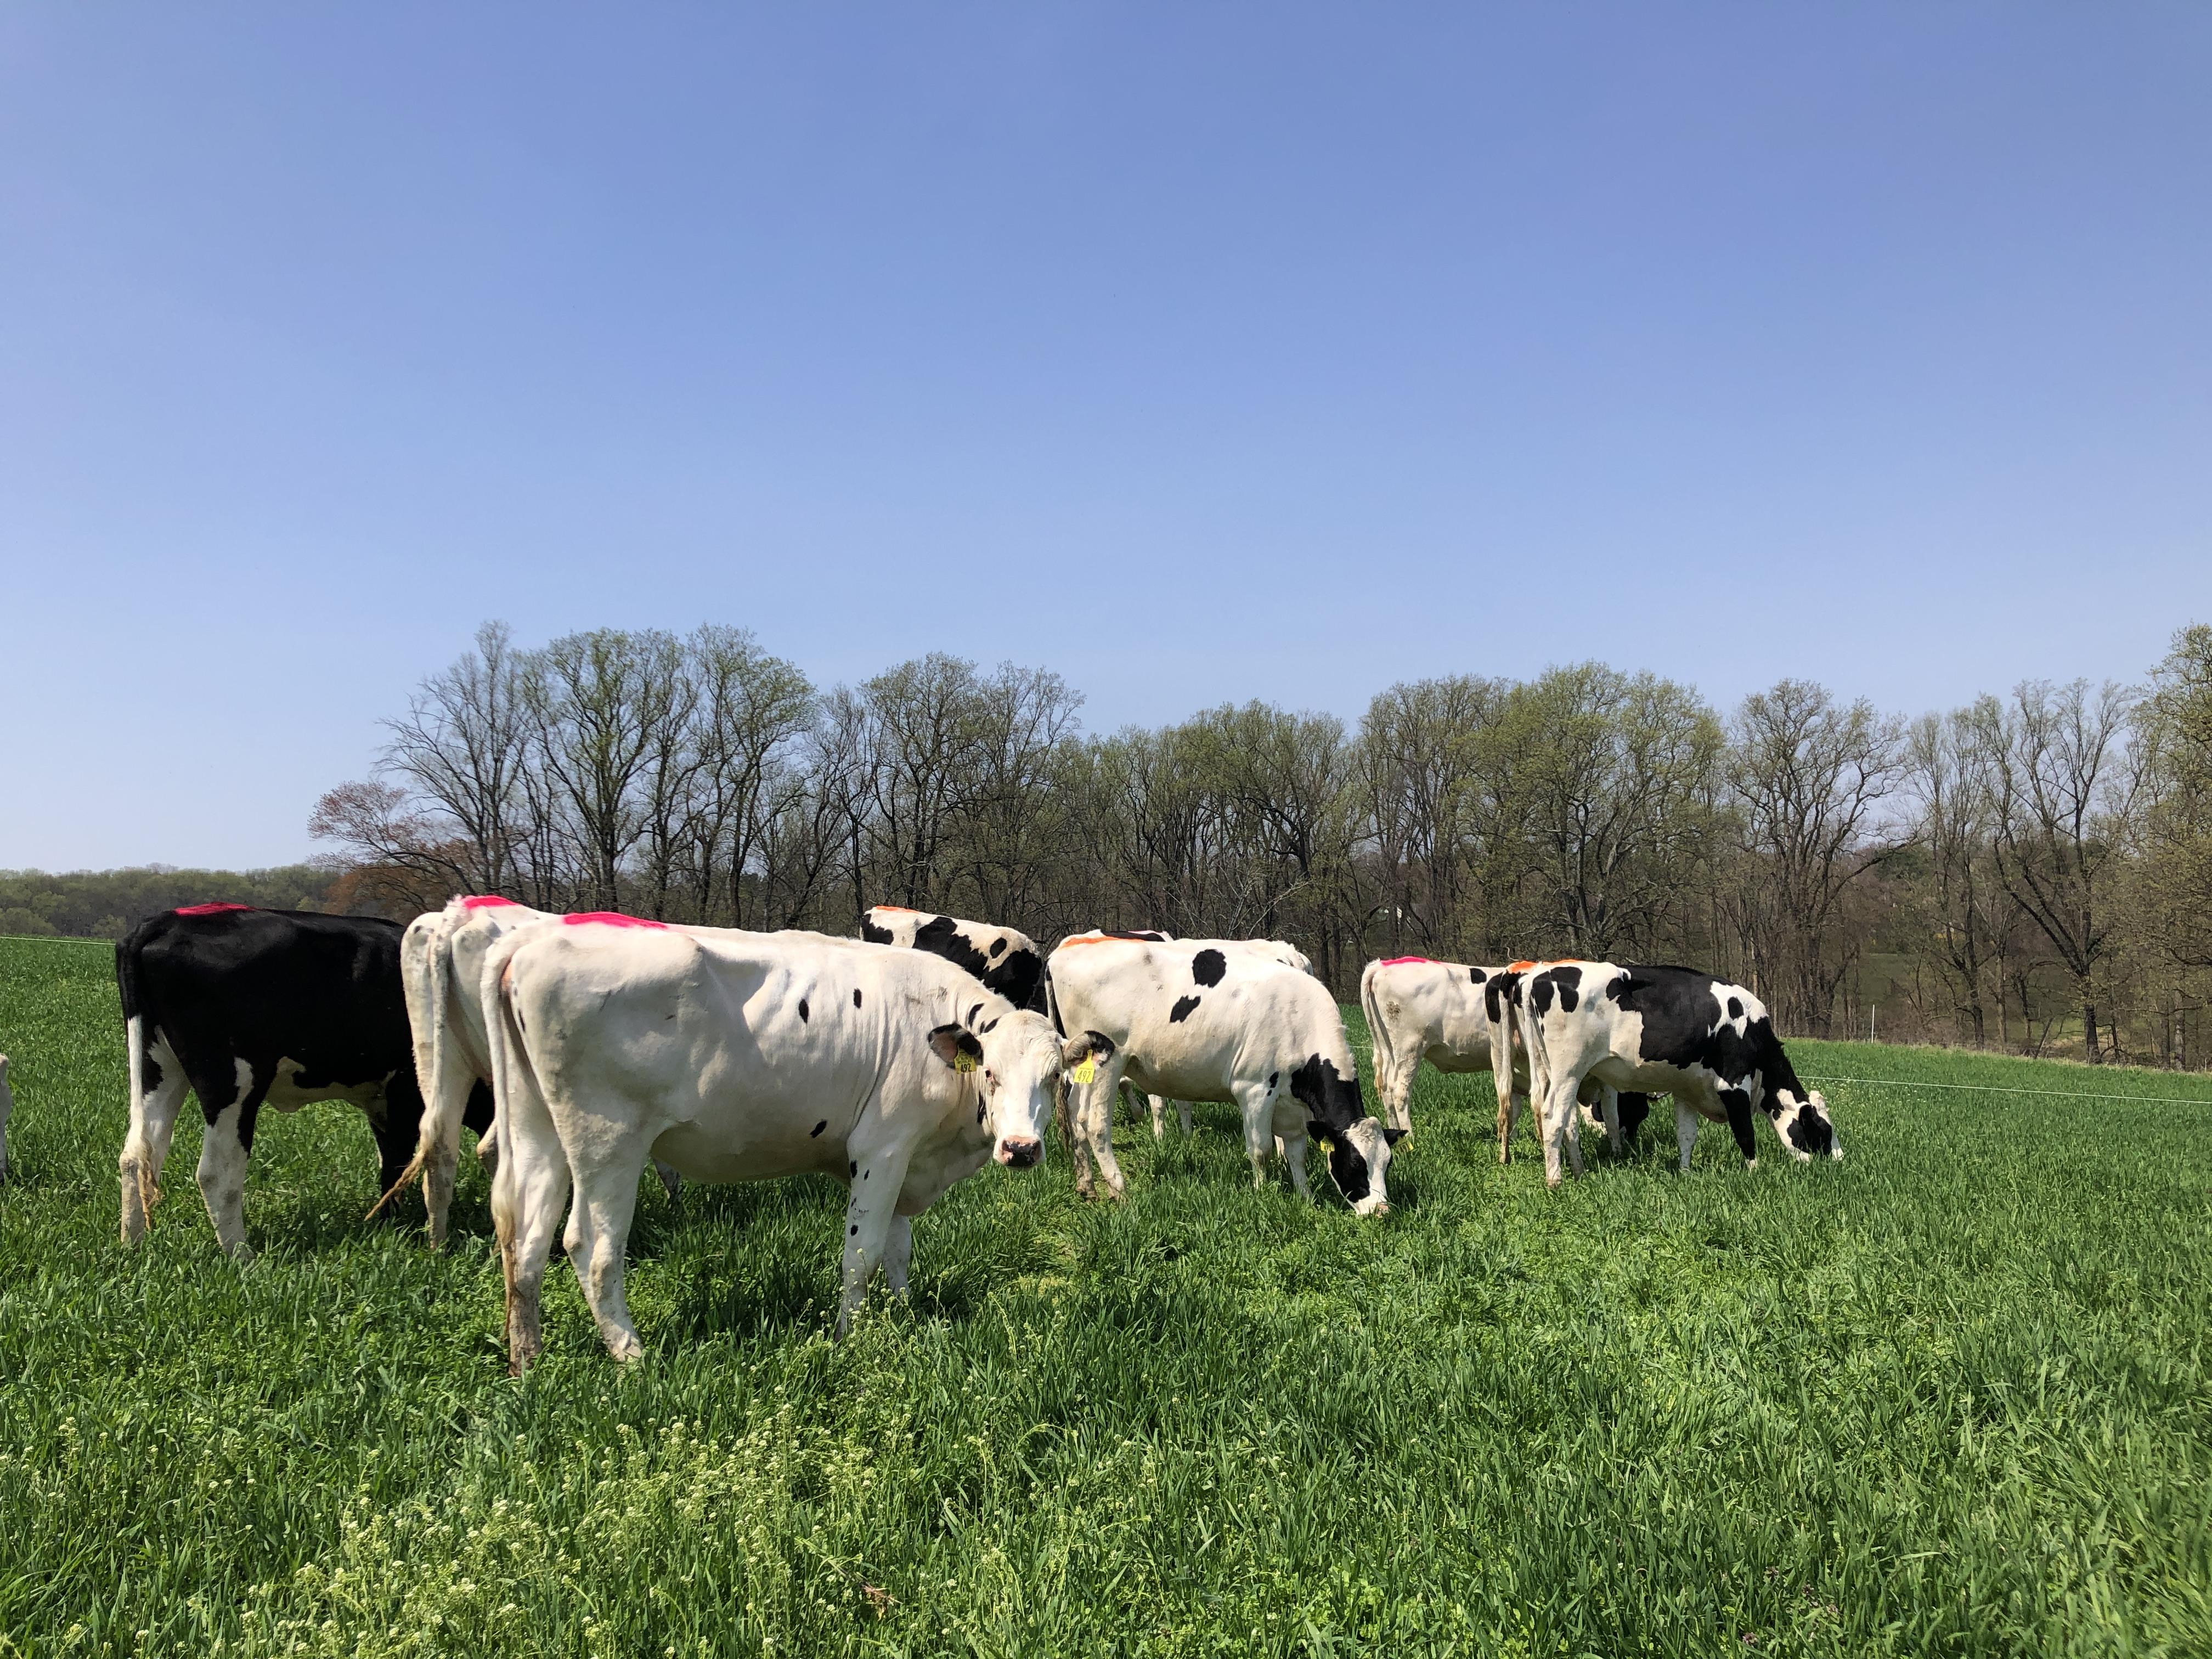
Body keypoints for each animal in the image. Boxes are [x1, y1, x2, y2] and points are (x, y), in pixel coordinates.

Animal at [114, 911, 491, 1256]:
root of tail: (171, 919)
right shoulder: (404, 1094)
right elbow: (401, 1158)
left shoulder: (381, 1101)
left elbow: (390, 1160)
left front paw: (388, 1222)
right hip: (233, 1083)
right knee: (215, 1171)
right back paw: (240, 1255)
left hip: (157, 1067)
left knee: (138, 1155)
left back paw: (132, 1246)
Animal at [1040, 938, 1398, 1221]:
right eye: (1355, 1164)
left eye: (1387, 1163)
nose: (1382, 1211)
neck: (1298, 1018)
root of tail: (1064, 951)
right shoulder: (1254, 1090)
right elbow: (1261, 1150)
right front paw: (1262, 1194)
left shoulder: (1292, 1106)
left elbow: (1298, 1153)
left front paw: (1305, 1197)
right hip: (1107, 1062)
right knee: (1094, 1124)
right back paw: (1119, 1188)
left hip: (1080, 1069)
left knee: (1075, 1118)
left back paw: (1086, 1184)